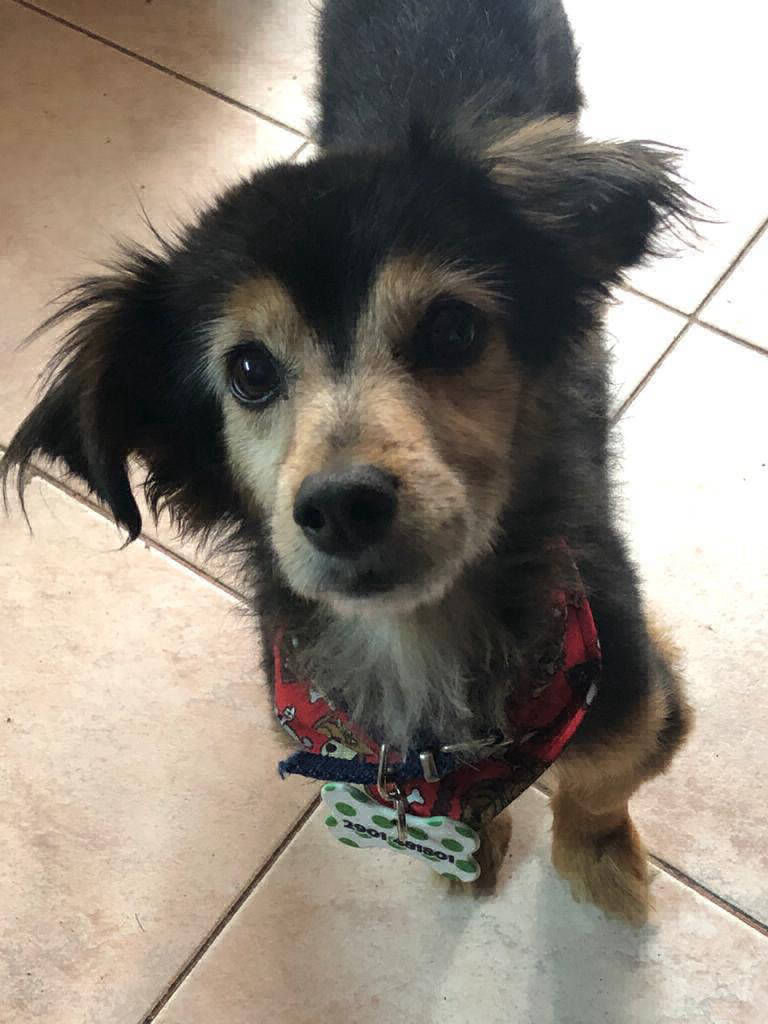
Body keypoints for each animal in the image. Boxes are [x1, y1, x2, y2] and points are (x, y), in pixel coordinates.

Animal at [1, 0, 694, 922]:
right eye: (249, 371)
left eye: (453, 328)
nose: (342, 505)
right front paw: (470, 851)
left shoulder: (632, 689)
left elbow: (600, 778)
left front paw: (598, 853)